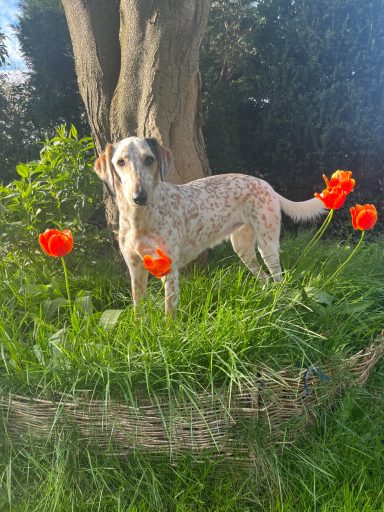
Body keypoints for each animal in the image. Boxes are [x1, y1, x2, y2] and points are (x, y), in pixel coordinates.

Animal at [94, 139, 326, 316]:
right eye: (121, 162)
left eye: (149, 159)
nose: (139, 197)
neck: (139, 220)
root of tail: (267, 185)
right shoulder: (135, 269)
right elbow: (138, 310)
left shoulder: (170, 271)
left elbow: (169, 313)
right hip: (243, 248)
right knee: (265, 278)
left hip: (267, 245)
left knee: (278, 278)